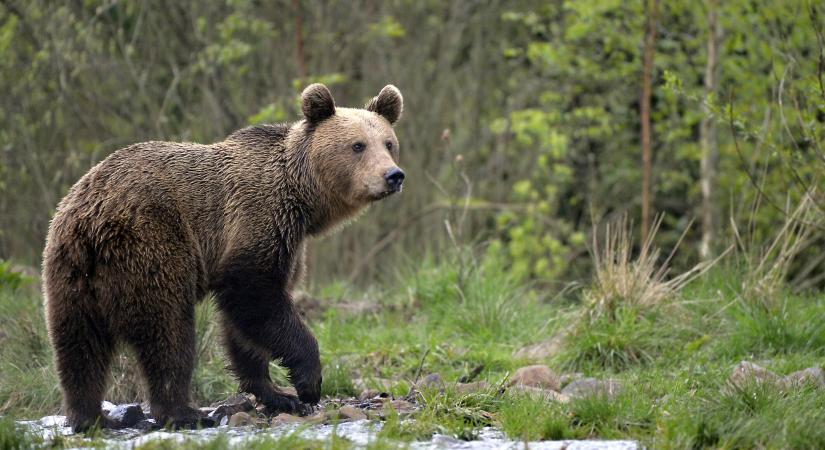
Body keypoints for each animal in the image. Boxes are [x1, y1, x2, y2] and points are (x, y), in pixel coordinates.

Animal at [42, 82, 406, 430]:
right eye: (357, 145)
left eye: (388, 143)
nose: (393, 175)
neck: (302, 199)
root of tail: (91, 218)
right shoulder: (257, 221)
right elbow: (255, 297)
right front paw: (307, 383)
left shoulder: (288, 241)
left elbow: (244, 325)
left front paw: (276, 393)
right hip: (151, 244)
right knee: (168, 331)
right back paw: (182, 411)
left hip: (70, 271)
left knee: (79, 347)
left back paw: (90, 416)